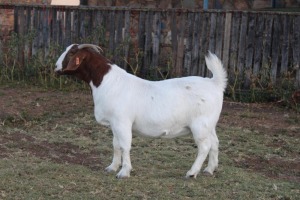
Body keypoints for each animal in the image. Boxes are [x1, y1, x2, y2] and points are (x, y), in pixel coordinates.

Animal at [54, 43, 227, 178]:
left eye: (71, 53)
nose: (56, 67)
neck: (107, 82)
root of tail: (215, 83)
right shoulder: (114, 124)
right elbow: (115, 145)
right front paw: (112, 167)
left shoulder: (122, 122)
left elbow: (125, 146)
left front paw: (124, 172)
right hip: (209, 124)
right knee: (215, 143)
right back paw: (209, 170)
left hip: (200, 125)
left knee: (204, 147)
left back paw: (192, 173)